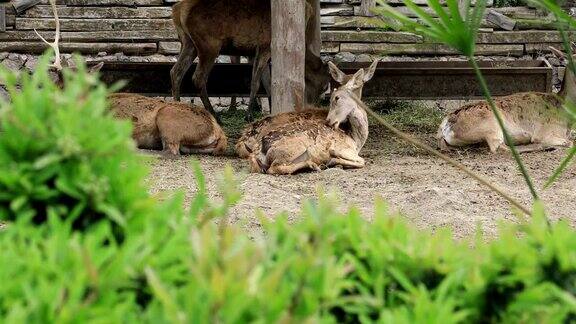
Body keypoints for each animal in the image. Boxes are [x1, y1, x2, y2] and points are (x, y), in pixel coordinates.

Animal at [170, 0, 328, 121]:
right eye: (324, 86)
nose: (313, 107)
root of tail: (177, 10)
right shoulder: (264, 46)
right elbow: (256, 83)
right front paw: (248, 115)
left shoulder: (260, 53)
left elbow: (268, 84)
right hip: (209, 44)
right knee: (198, 77)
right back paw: (215, 115)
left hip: (188, 43)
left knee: (176, 71)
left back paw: (177, 107)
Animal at [236, 63, 376, 175]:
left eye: (337, 98)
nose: (328, 121)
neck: (355, 139)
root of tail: (255, 151)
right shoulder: (341, 148)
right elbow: (362, 160)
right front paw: (333, 161)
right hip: (293, 148)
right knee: (275, 168)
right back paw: (313, 165)